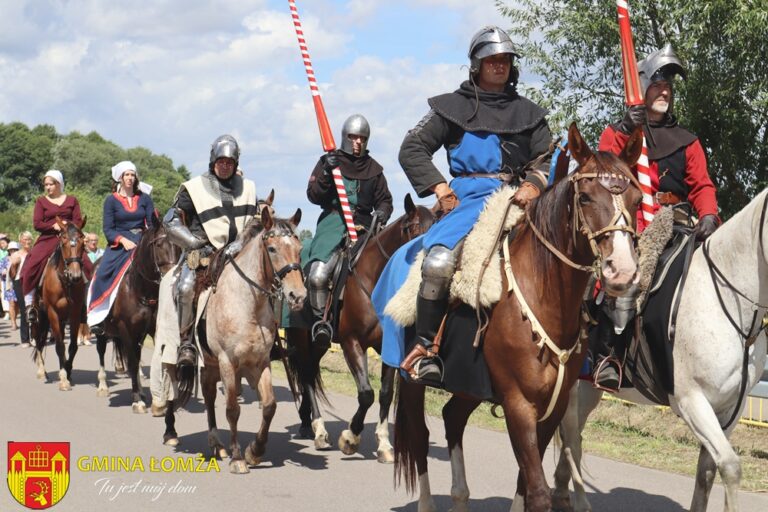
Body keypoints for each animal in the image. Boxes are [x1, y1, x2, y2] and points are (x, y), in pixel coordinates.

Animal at [33, 217, 88, 392]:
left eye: (82, 240)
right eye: (63, 241)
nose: (75, 275)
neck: (64, 281)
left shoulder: (75, 313)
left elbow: (72, 346)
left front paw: (68, 371)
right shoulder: (52, 313)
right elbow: (58, 346)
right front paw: (63, 379)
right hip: (39, 315)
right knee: (38, 339)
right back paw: (42, 371)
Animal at [94, 214, 181, 414]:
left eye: (179, 246)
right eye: (159, 245)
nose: (173, 278)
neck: (140, 290)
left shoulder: (153, 330)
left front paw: (159, 401)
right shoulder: (126, 330)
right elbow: (133, 363)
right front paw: (137, 401)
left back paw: (141, 390)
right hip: (102, 330)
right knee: (101, 350)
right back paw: (103, 386)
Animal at [284, 194, 436, 462]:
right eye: (414, 229)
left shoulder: (387, 348)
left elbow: (385, 394)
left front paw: (384, 444)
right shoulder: (352, 343)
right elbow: (366, 394)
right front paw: (350, 438)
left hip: (319, 344)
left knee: (310, 371)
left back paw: (306, 423)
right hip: (302, 340)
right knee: (308, 378)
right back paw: (319, 430)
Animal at [392, 124, 644, 512]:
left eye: (637, 200)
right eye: (585, 198)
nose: (623, 271)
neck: (545, 297)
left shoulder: (553, 407)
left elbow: (526, 482)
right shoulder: (519, 405)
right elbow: (537, 491)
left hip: (469, 384)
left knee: (452, 418)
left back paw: (460, 497)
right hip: (410, 379)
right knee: (420, 436)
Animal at [552, 189, 768, 512]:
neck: (731, 301)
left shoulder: (731, 407)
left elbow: (707, 471)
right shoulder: (692, 400)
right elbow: (730, 466)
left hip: (589, 389)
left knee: (572, 434)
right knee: (571, 439)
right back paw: (577, 500)